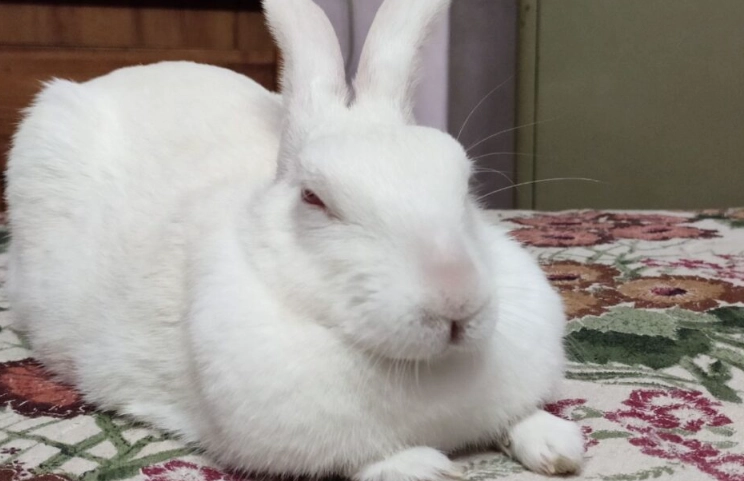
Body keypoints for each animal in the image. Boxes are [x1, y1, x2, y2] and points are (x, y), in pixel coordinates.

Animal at [4, 0, 585, 479]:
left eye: (464, 183)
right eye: (314, 198)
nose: (457, 302)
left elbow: (521, 417)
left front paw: (559, 446)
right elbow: (372, 459)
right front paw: (428, 469)